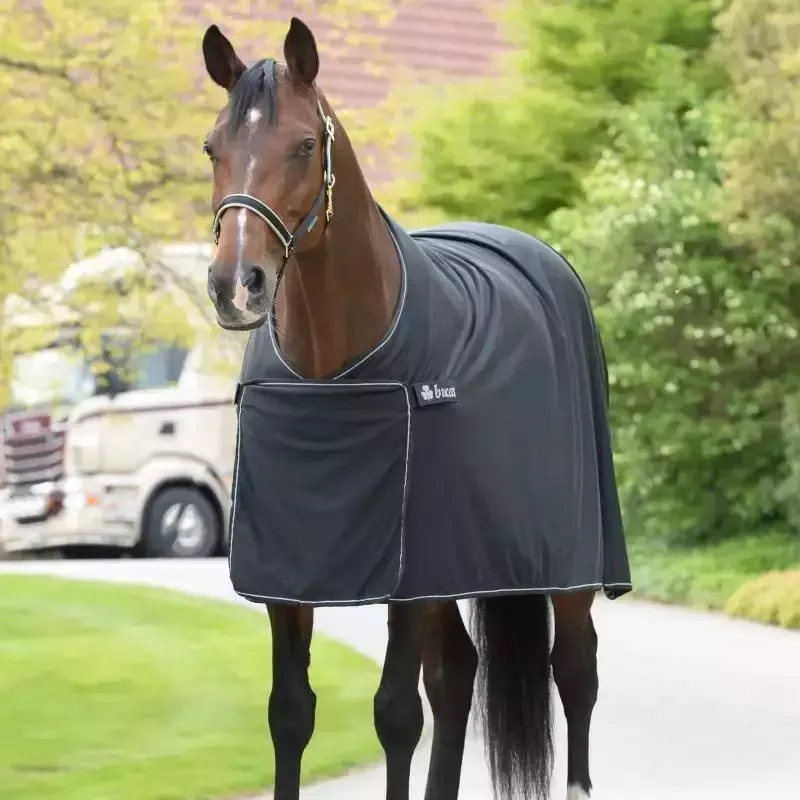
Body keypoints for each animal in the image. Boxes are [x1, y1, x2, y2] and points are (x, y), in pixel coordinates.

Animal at [200, 17, 631, 800]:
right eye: (213, 146)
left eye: (304, 145)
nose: (235, 285)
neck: (335, 371)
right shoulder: (288, 577)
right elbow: (290, 714)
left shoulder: (409, 579)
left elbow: (396, 714)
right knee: (458, 673)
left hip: (567, 569)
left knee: (575, 673)